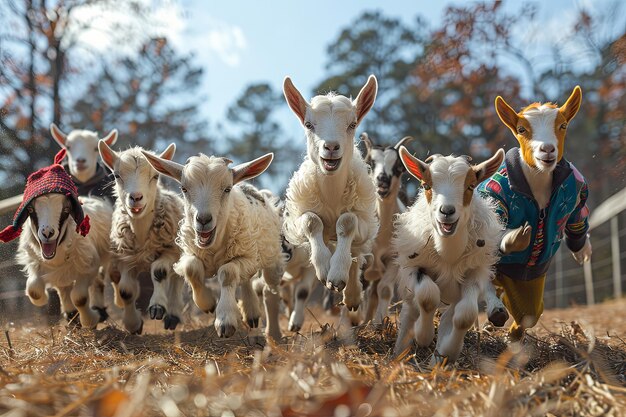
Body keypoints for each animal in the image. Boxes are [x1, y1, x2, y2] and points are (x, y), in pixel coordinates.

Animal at [96, 141, 182, 334]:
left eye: (156, 176)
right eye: (116, 175)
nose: (136, 198)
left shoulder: (170, 250)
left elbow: (159, 271)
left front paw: (157, 307)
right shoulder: (125, 258)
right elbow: (126, 290)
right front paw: (133, 324)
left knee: (176, 279)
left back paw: (173, 315)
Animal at [141, 151, 282, 340]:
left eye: (227, 189)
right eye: (184, 189)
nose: (203, 219)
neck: (213, 247)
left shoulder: (246, 257)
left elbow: (228, 273)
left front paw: (225, 320)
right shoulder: (190, 253)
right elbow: (192, 268)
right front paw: (207, 303)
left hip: (266, 258)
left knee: (263, 286)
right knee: (246, 280)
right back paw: (251, 311)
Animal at [282, 75, 378, 316]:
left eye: (352, 124)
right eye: (309, 124)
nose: (331, 147)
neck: (333, 197)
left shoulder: (363, 222)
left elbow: (347, 221)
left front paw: (336, 275)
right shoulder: (299, 220)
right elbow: (311, 220)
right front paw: (324, 268)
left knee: (356, 254)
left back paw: (351, 294)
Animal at [358, 132, 412, 324]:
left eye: (398, 167)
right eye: (369, 163)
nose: (383, 179)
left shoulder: (393, 259)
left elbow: (384, 290)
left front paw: (378, 324)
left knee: (373, 293)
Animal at [394, 148, 508, 362]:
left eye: (470, 186)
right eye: (426, 185)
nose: (446, 211)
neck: (448, 255)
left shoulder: (473, 275)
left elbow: (465, 315)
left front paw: (449, 351)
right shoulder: (414, 267)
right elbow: (427, 296)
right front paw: (423, 336)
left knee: (449, 316)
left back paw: (438, 359)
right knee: (411, 310)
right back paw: (400, 351)